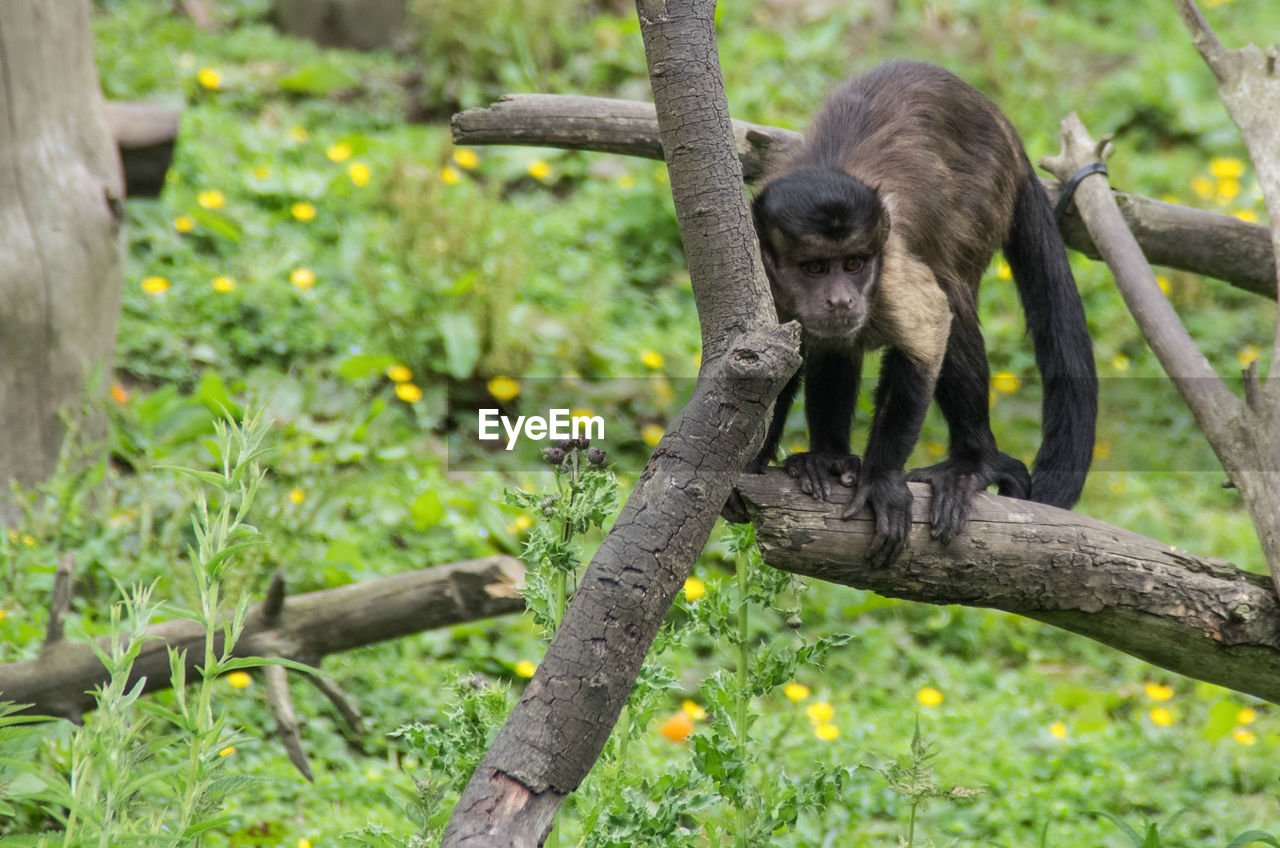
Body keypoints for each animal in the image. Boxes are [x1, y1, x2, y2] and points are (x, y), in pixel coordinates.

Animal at [747, 63, 1100, 568]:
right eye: (815, 268)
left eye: (853, 264)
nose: (842, 300)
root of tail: (996, 116)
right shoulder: (761, 280)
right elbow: (771, 363)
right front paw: (749, 462)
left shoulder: (890, 268)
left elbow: (931, 334)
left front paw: (880, 481)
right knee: (838, 350)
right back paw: (828, 458)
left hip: (985, 195)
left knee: (953, 299)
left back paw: (972, 463)